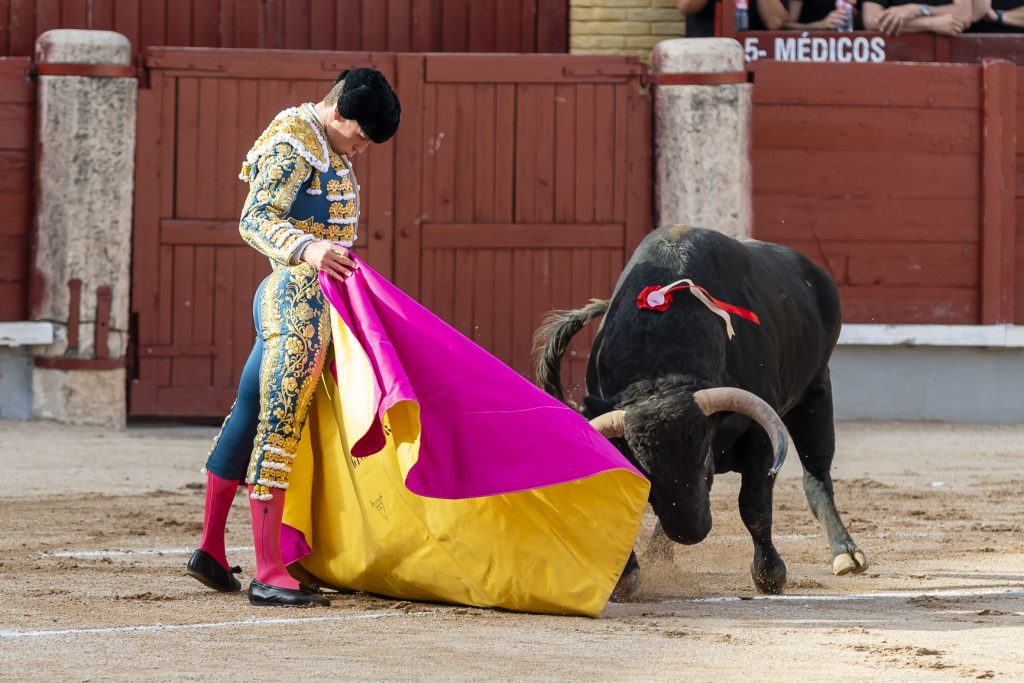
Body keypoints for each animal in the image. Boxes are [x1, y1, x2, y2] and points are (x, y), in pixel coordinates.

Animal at [534, 225, 866, 595]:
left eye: (705, 459)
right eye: (646, 471)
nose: (689, 533)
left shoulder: (759, 437)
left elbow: (754, 506)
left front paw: (770, 575)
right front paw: (626, 575)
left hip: (816, 392)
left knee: (816, 473)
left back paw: (846, 553)